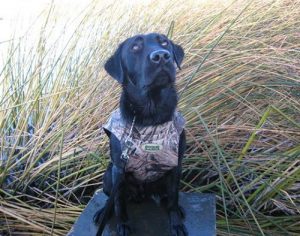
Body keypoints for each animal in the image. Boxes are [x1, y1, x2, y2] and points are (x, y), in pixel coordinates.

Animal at [94, 31, 188, 236]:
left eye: (164, 42)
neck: (151, 115)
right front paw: (122, 225)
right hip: (108, 175)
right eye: (135, 47)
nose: (161, 56)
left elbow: (174, 197)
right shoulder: (119, 169)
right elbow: (119, 204)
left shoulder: (175, 165)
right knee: (112, 198)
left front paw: (176, 222)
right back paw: (103, 211)